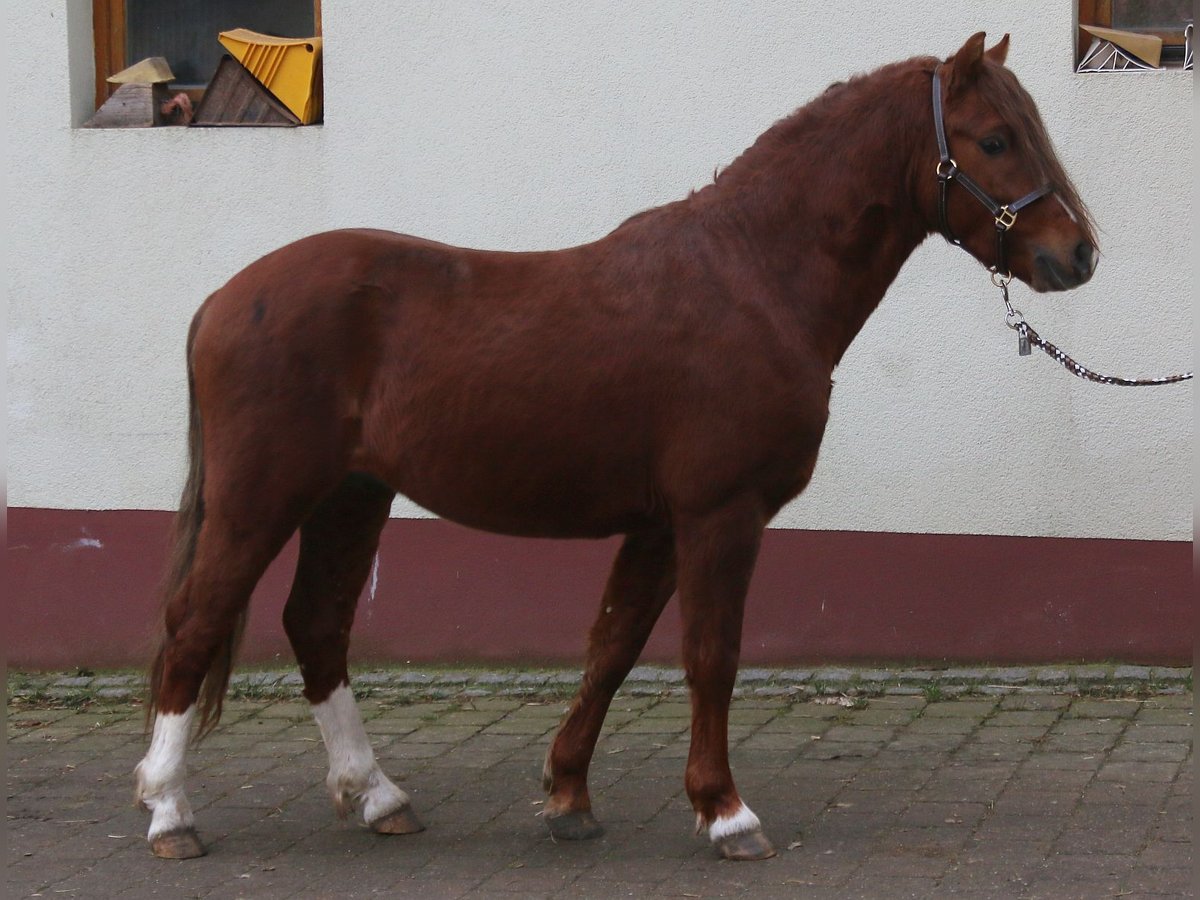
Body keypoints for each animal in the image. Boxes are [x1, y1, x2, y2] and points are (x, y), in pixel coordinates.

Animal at [135, 32, 1096, 862]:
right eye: (996, 138)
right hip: (261, 499)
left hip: (352, 496)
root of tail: (224, 297)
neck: (753, 276)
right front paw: (726, 813)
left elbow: (612, 646)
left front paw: (568, 797)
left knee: (318, 625)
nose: (1078, 255)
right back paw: (170, 810)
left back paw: (377, 796)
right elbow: (709, 656)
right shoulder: (719, 513)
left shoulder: (661, 522)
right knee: (194, 624)